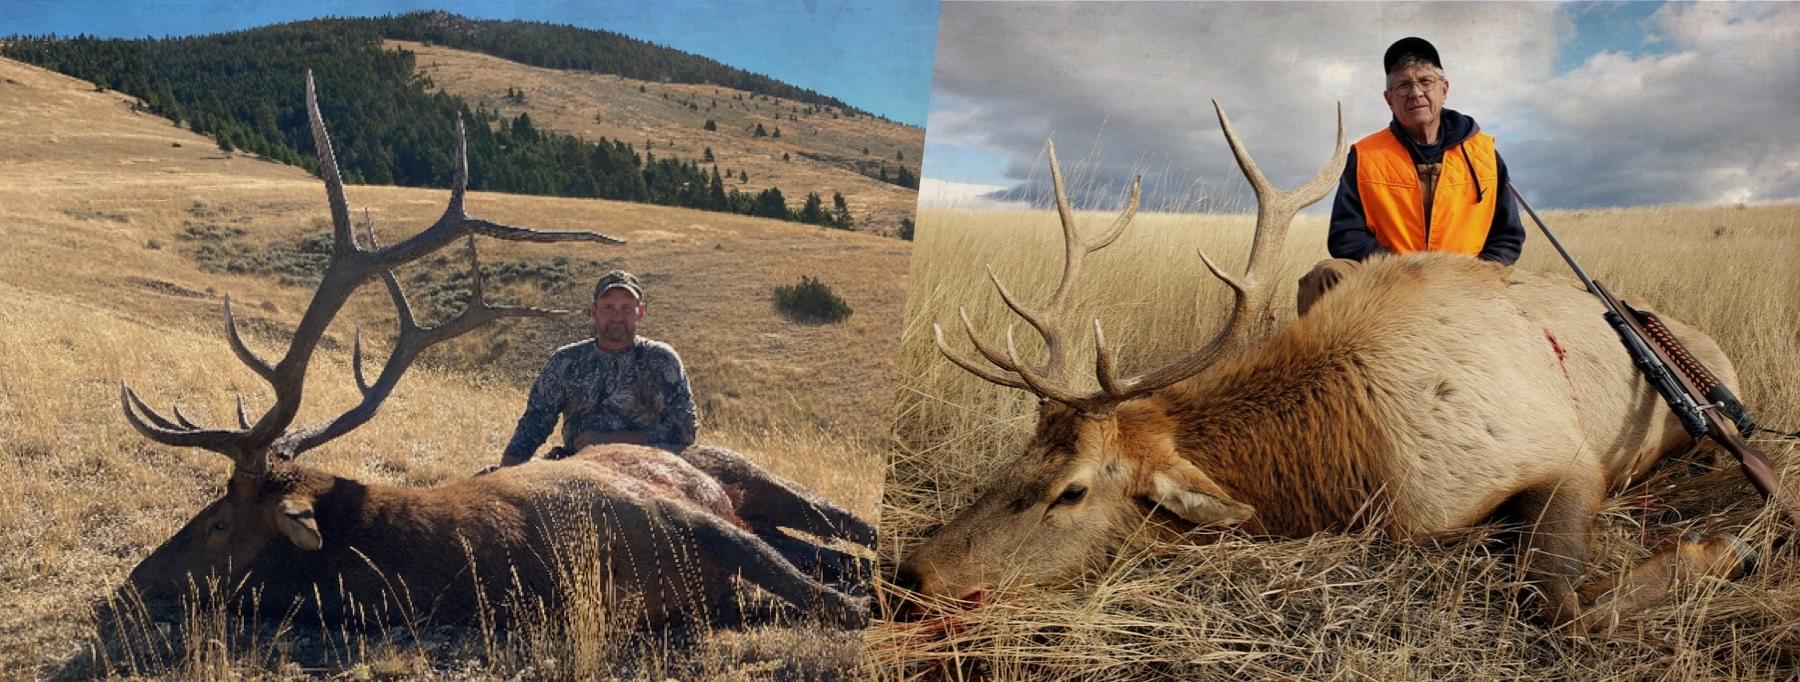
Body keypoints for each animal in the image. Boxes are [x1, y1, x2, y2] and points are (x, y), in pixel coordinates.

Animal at [116, 73, 869, 633]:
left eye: (216, 521)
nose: (132, 582)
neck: (490, 559)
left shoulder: (686, 516)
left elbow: (846, 603)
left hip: (741, 471)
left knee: (849, 526)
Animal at [892, 101, 1759, 634]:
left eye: (1070, 492)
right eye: (1015, 461)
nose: (914, 572)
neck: (1354, 462)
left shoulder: (1564, 457)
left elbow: (1560, 602)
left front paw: (1723, 551)